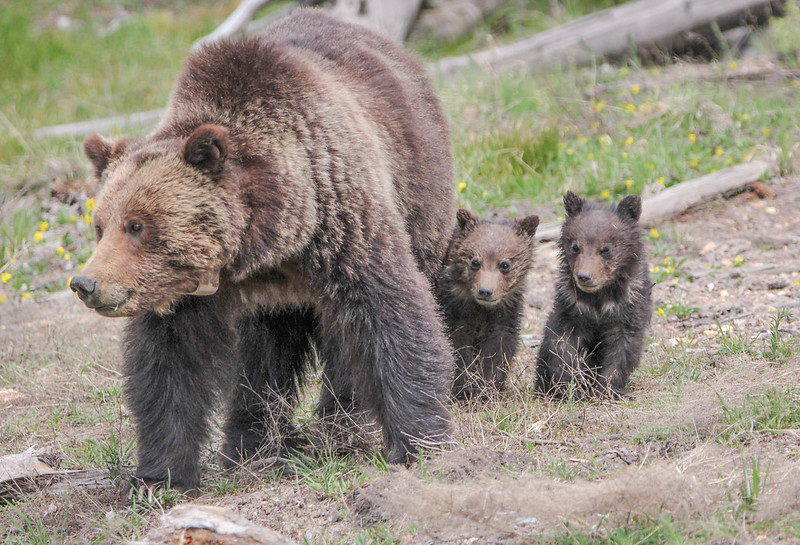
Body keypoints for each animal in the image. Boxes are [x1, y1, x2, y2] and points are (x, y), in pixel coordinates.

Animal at [70, 10, 456, 490]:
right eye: (100, 225)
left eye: (136, 224)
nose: (85, 283)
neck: (265, 244)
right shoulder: (183, 293)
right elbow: (169, 364)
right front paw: (162, 474)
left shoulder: (341, 221)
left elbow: (389, 313)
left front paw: (419, 439)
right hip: (275, 304)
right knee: (264, 352)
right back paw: (253, 441)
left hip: (418, 188)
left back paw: (340, 423)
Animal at [434, 208, 540, 400]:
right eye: (475, 262)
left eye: (505, 264)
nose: (485, 291)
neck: (481, 309)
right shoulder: (455, 309)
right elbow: (458, 347)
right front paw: (464, 388)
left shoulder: (506, 312)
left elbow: (498, 350)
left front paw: (487, 388)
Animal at [536, 193, 648, 398]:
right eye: (575, 247)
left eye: (606, 249)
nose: (584, 276)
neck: (598, 297)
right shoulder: (571, 306)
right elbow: (562, 345)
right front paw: (571, 385)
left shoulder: (627, 305)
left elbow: (622, 348)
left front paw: (607, 388)